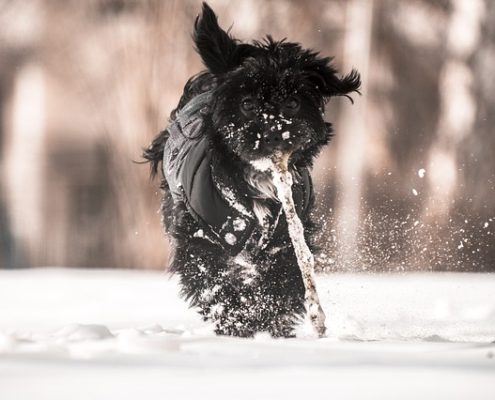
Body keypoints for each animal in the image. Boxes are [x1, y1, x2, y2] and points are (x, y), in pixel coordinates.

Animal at [143, 3, 360, 336]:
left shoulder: (287, 237)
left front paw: (266, 318)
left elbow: (284, 279)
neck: (258, 181)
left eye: (293, 103)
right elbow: (213, 281)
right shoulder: (200, 236)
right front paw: (237, 320)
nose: (272, 133)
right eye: (246, 104)